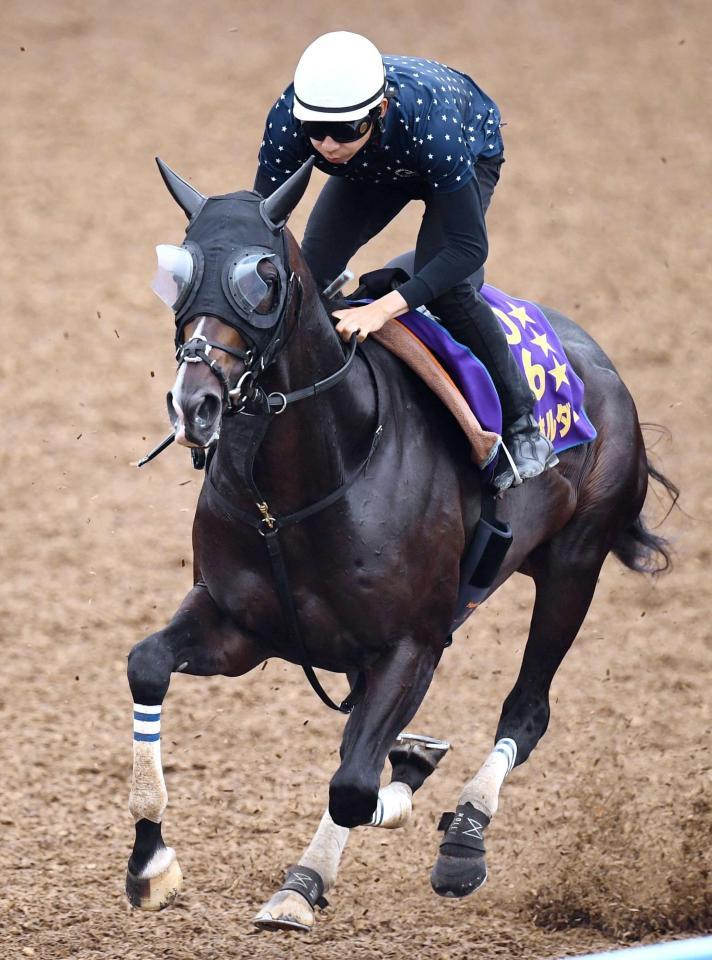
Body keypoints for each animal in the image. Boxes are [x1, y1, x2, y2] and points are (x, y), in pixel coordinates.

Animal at [125, 156, 676, 928]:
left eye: (264, 277)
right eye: (179, 271)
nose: (194, 403)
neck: (298, 491)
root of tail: (605, 368)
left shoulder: (413, 643)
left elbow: (354, 784)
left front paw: (308, 881)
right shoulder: (241, 625)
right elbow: (147, 664)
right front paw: (151, 859)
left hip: (575, 566)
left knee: (526, 710)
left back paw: (464, 835)